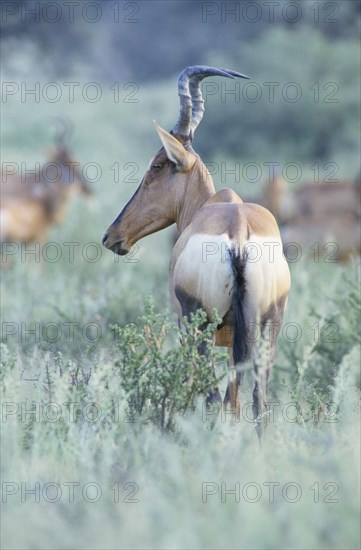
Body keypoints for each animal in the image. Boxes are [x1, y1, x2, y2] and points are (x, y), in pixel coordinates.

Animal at [103, 67, 290, 440]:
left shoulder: (186, 323)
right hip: (267, 324)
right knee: (257, 398)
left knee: (213, 396)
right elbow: (237, 397)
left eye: (157, 165)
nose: (112, 236)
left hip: (199, 323)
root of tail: (237, 233)